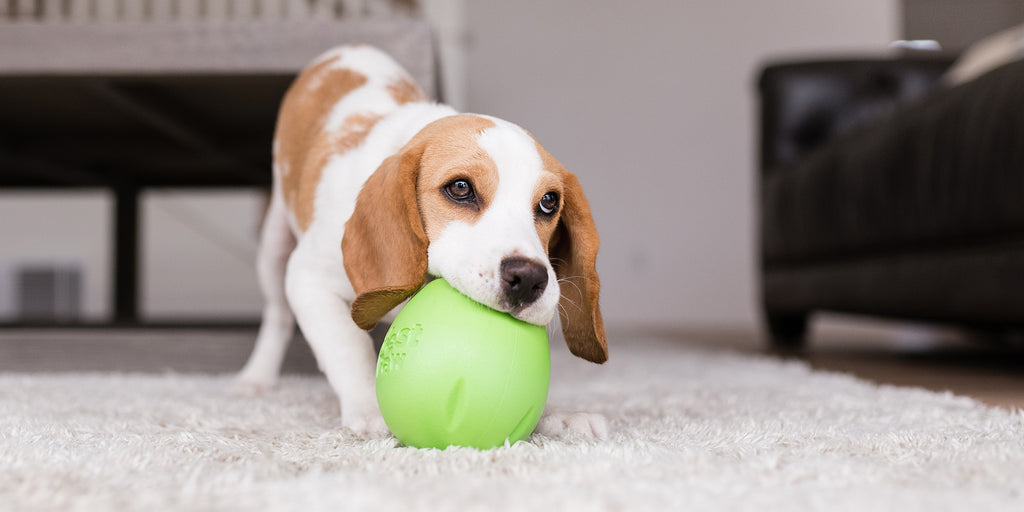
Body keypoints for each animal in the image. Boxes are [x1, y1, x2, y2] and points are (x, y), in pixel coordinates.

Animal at [235, 45, 606, 436]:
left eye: (549, 202)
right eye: (461, 187)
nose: (530, 279)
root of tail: (348, 50)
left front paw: (560, 417)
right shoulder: (308, 280)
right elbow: (347, 347)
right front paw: (368, 410)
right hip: (274, 248)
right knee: (277, 316)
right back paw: (256, 378)